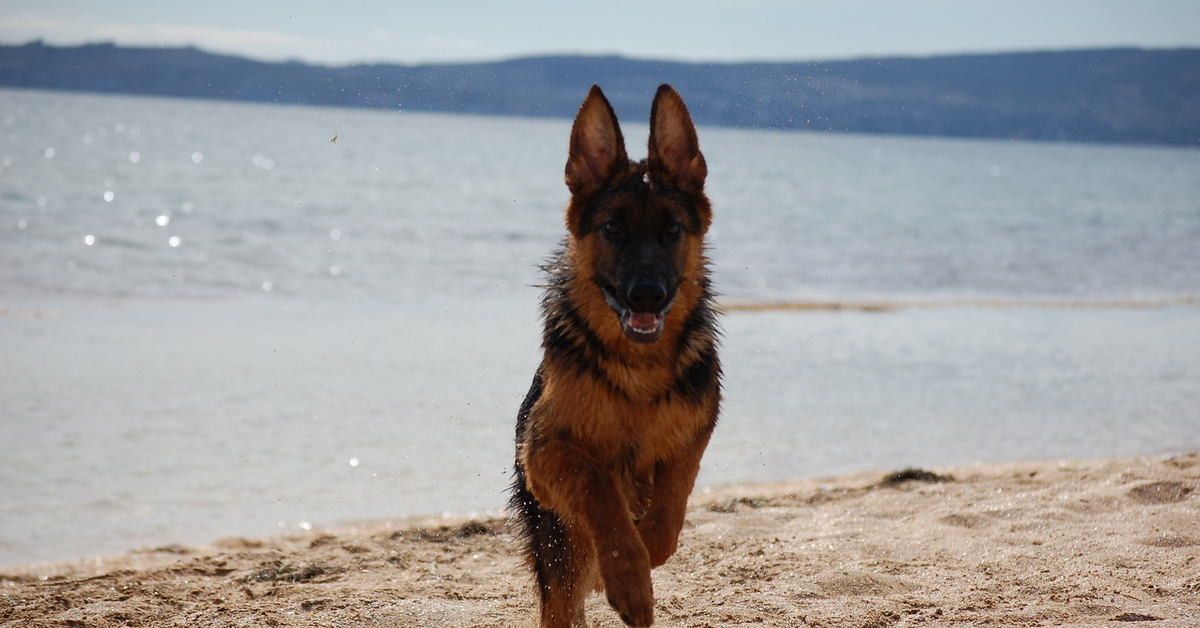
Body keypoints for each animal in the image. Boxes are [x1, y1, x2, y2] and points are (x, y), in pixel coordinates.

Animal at [509, 84, 721, 628]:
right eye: (613, 229)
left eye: (672, 230)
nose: (647, 295)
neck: (638, 370)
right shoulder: (543, 450)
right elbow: (599, 482)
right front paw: (627, 573)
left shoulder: (695, 436)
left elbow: (669, 512)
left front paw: (642, 557)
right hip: (557, 551)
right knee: (560, 604)